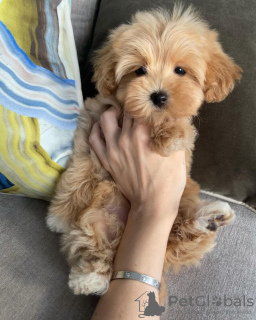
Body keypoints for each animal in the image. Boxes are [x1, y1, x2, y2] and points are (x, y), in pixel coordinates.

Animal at [46, 5, 242, 298]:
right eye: (139, 70)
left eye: (180, 70)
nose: (158, 96)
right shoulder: (91, 127)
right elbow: (79, 170)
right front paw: (59, 214)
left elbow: (179, 125)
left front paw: (168, 135)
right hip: (99, 217)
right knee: (97, 246)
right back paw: (91, 278)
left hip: (180, 199)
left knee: (179, 232)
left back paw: (209, 218)